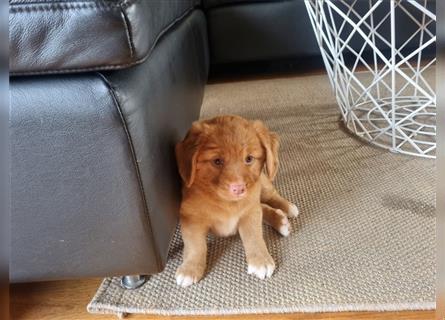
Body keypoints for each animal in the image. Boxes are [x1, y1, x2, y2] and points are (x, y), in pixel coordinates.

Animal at [174, 115, 298, 288]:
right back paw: (280, 220)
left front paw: (260, 259)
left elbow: (254, 235)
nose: (238, 188)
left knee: (270, 197)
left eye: (249, 159)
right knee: (263, 206)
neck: (225, 202)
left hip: (262, 183)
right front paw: (190, 268)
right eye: (217, 161)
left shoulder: (250, 211)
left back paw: (286, 209)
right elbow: (196, 246)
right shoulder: (191, 218)